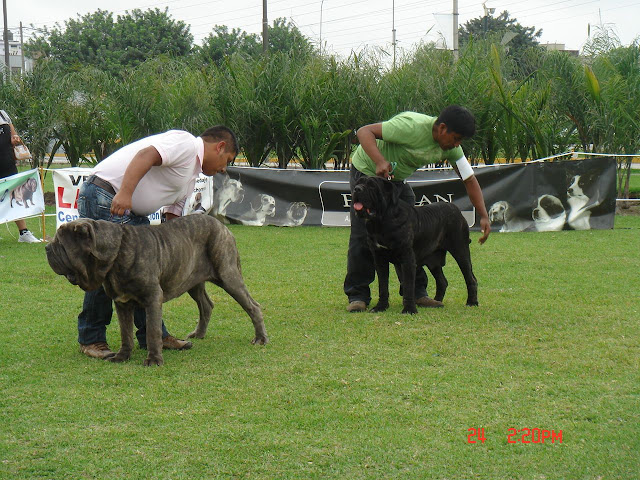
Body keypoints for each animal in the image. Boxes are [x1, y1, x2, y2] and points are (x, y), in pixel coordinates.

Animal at [45, 214, 268, 364]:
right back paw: (199, 334)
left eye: (60, 244)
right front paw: (122, 356)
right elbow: (126, 333)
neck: (115, 254)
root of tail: (222, 226)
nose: (47, 248)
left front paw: (153, 359)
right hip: (192, 280)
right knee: (206, 305)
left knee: (253, 306)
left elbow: (152, 331)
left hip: (228, 275)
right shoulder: (122, 303)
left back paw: (260, 339)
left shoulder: (152, 298)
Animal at [352, 176, 478, 316]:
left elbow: (408, 286)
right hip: (433, 261)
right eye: (358, 183)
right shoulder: (380, 260)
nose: (357, 189)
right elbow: (383, 286)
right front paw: (380, 307)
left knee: (471, 278)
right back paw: (436, 302)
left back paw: (472, 302)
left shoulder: (407, 260)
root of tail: (455, 208)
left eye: (372, 186)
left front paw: (409, 309)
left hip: (460, 251)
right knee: (442, 281)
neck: (380, 222)